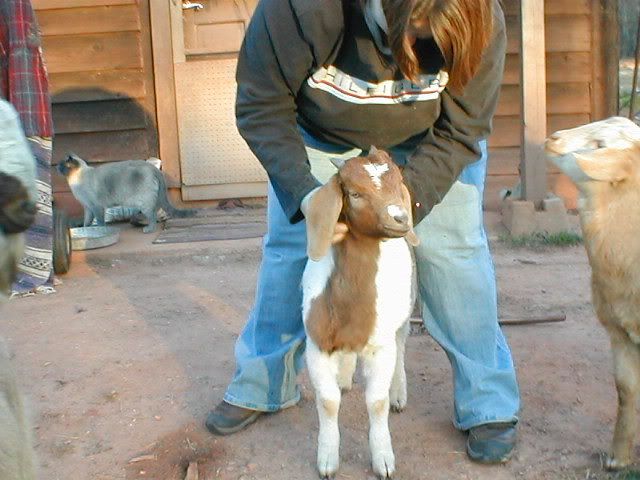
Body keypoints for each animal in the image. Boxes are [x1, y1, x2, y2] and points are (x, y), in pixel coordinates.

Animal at [302, 147, 419, 479]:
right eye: (354, 193)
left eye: (398, 182)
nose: (400, 217)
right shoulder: (316, 345)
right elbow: (328, 401)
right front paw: (327, 459)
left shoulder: (380, 346)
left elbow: (376, 402)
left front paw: (383, 459)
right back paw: (344, 376)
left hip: (405, 313)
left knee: (401, 348)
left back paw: (399, 393)